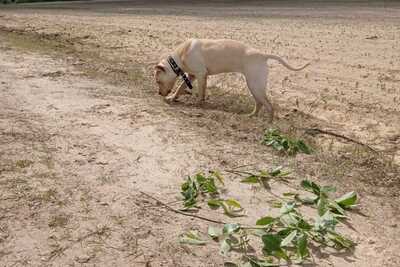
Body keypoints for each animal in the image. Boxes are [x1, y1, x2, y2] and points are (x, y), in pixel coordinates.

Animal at [154, 38, 310, 120]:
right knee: (260, 103)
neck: (180, 56)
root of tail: (263, 55)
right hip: (254, 86)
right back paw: (251, 116)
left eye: (158, 81)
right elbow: (180, 88)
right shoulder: (192, 76)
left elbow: (201, 93)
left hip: (254, 85)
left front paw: (198, 104)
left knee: (269, 106)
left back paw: (269, 125)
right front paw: (172, 98)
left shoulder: (200, 74)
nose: (159, 93)